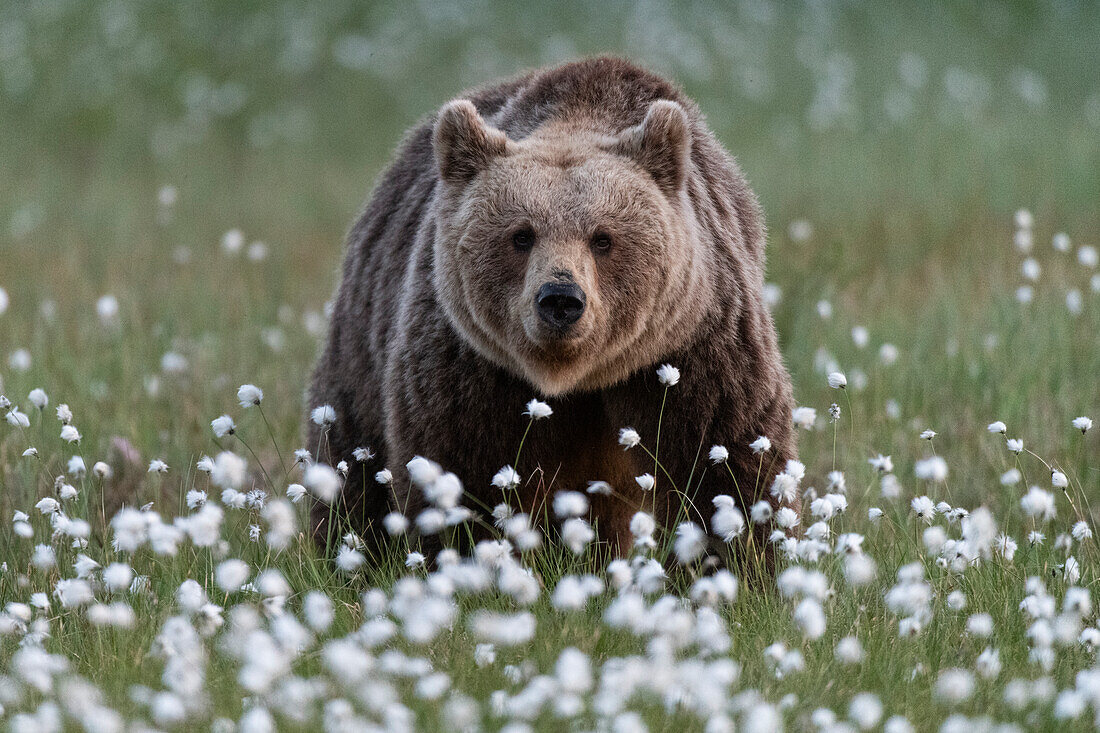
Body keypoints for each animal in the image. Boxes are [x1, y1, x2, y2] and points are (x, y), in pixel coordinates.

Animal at [305, 57, 796, 556]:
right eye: (521, 235)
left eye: (603, 238)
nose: (561, 299)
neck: (573, 379)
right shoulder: (472, 365)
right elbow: (462, 471)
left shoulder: (691, 346)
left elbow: (723, 462)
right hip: (362, 346)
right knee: (353, 463)